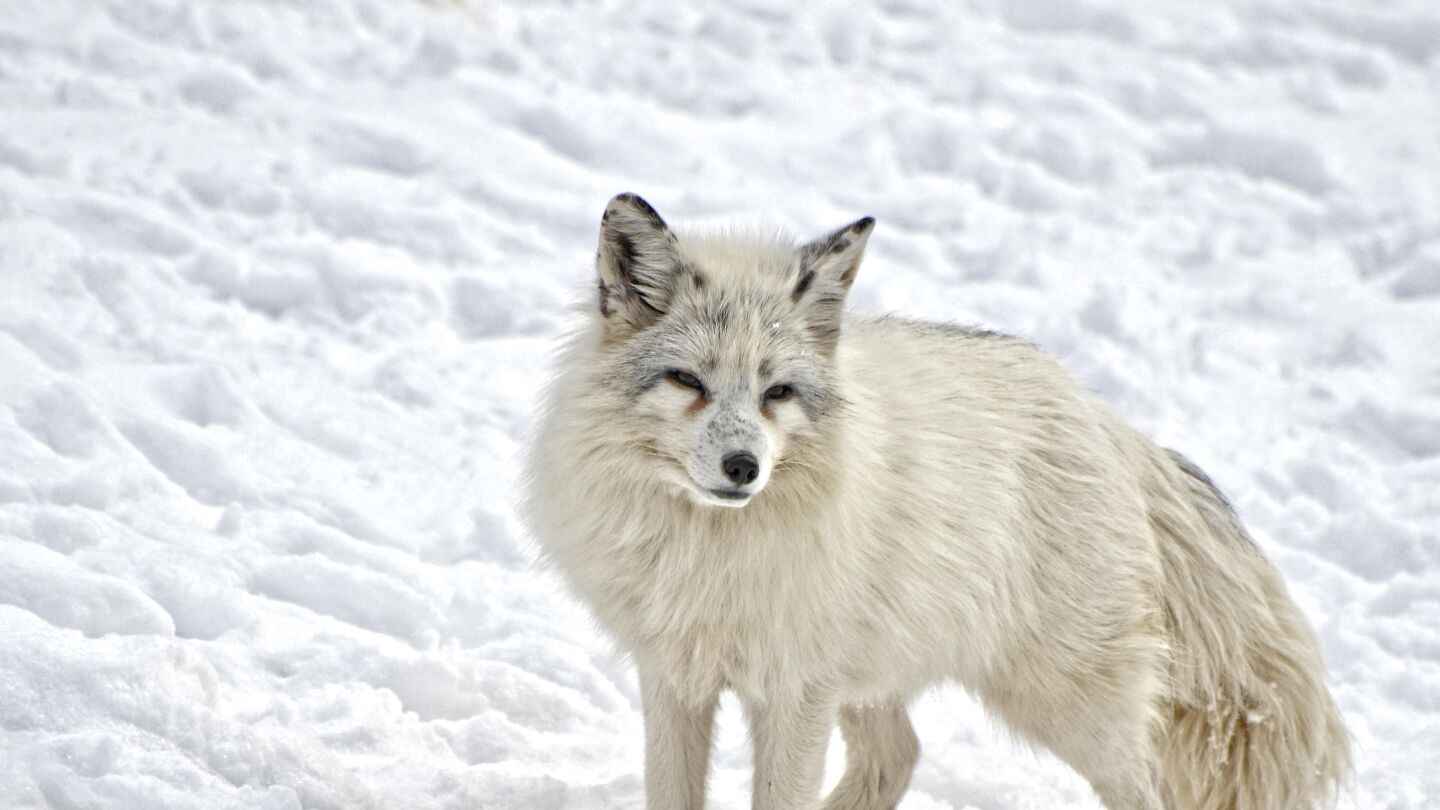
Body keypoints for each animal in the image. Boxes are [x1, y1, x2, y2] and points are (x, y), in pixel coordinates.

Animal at [523, 193, 1350, 810]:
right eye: (688, 382)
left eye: (776, 392)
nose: (743, 468)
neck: (710, 552)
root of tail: (1103, 419)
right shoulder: (676, 678)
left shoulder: (793, 693)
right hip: (872, 682)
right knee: (899, 757)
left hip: (1065, 705)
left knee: (1139, 786)